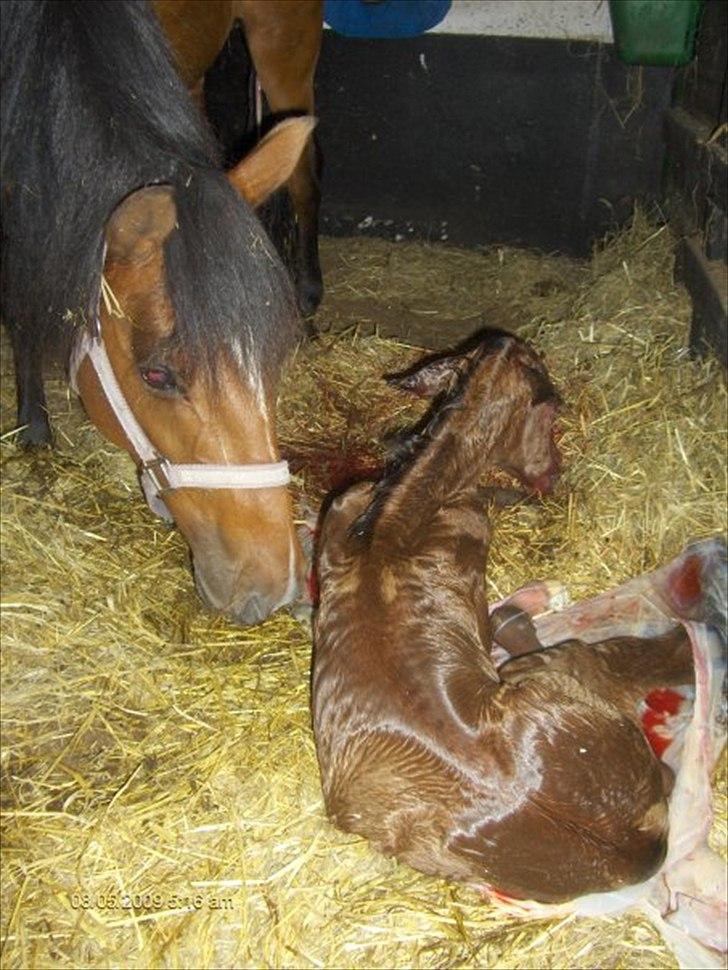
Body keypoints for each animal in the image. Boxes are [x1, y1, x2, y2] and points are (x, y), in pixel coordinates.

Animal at [308, 330, 692, 900]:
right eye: (551, 415)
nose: (553, 474)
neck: (391, 524)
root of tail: (633, 850)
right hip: (549, 672)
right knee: (610, 664)